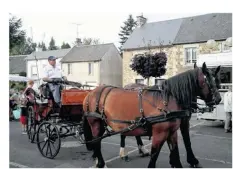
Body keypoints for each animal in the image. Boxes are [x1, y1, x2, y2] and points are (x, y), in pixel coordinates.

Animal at [83, 62, 221, 168]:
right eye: (208, 81)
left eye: (218, 80)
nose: (218, 99)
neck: (167, 99)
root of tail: (91, 93)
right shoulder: (160, 133)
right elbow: (155, 155)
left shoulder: (172, 132)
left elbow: (176, 152)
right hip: (96, 123)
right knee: (97, 141)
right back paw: (101, 163)